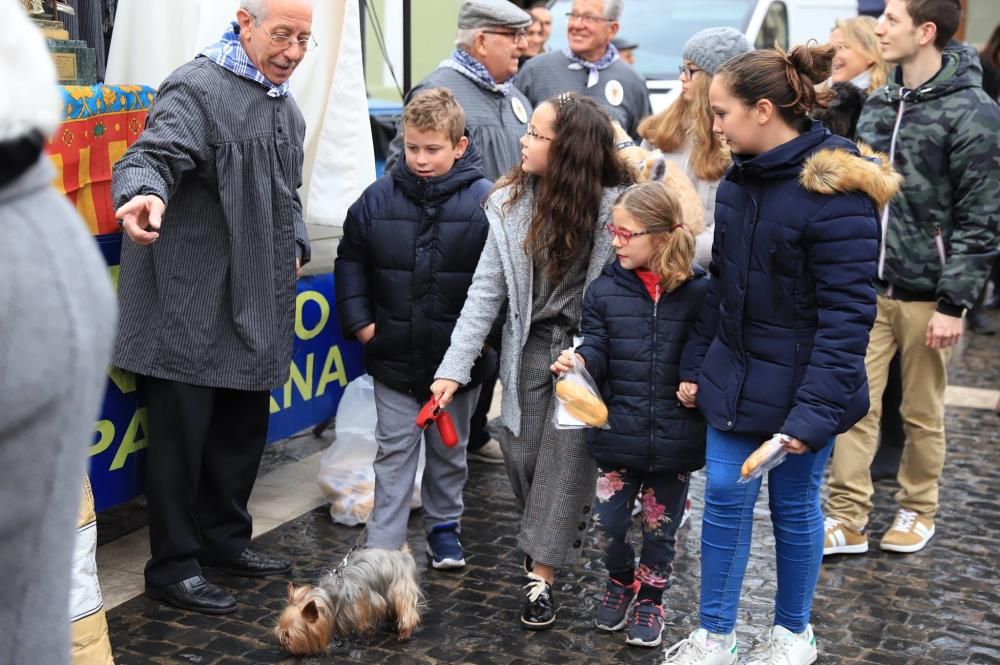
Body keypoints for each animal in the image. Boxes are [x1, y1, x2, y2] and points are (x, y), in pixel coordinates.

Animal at [274, 544, 422, 652]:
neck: (331, 597)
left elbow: (365, 624)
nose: (282, 643)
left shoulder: (364, 606)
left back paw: (404, 633)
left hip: (400, 588)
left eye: (289, 634)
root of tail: (403, 555)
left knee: (407, 611)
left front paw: (367, 636)